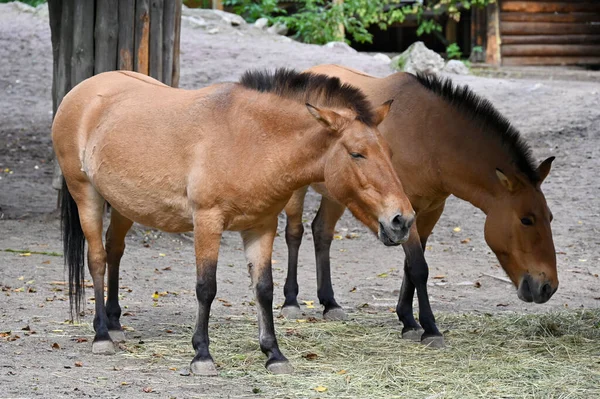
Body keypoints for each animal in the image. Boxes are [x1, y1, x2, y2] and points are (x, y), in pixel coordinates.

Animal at [282, 64, 556, 348]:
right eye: (526, 219)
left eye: (550, 217)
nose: (547, 287)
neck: (429, 138)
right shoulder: (403, 212)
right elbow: (419, 267)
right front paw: (430, 329)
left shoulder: (427, 212)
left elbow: (410, 266)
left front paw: (408, 321)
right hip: (297, 189)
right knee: (295, 233)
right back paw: (291, 302)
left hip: (337, 195)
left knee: (322, 232)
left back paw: (330, 304)